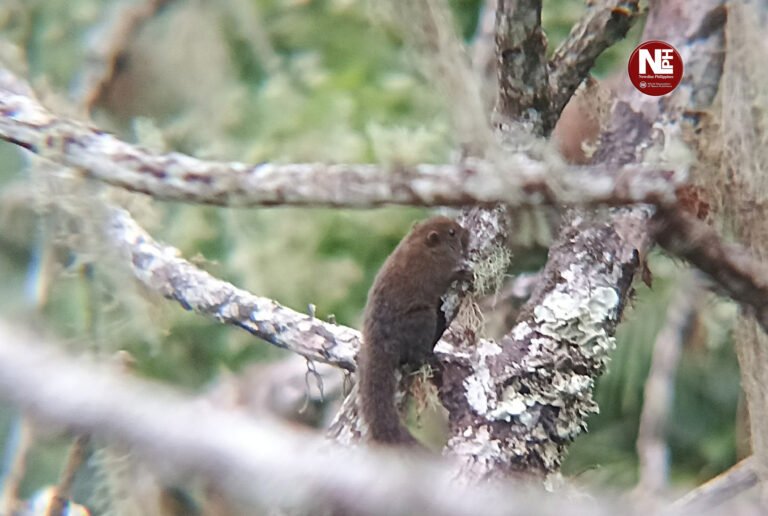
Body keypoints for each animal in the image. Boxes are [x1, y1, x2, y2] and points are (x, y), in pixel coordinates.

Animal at [358, 215, 470, 445]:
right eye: (452, 233)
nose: (467, 232)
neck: (421, 245)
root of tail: (379, 344)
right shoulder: (437, 271)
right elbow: (449, 276)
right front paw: (463, 274)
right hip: (423, 318)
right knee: (417, 354)